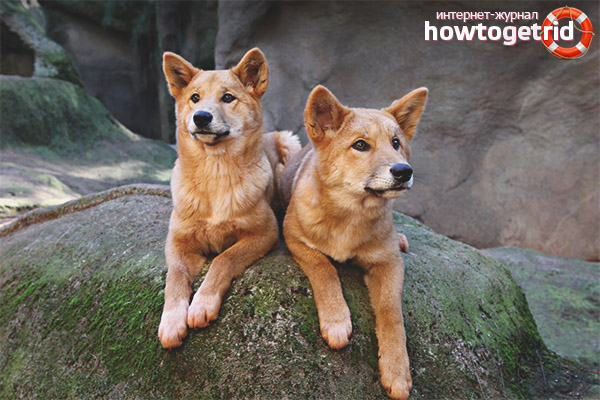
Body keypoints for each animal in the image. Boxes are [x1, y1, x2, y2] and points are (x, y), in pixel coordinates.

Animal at [158, 48, 300, 349]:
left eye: (227, 97)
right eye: (195, 97)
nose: (201, 117)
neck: (215, 175)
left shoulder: (263, 233)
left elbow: (223, 259)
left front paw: (202, 304)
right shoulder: (177, 242)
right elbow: (174, 278)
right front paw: (171, 321)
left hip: (289, 142)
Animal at [280, 85, 428, 399]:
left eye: (396, 143)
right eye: (360, 145)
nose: (403, 171)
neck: (351, 216)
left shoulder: (388, 262)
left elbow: (391, 313)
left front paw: (397, 369)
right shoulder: (294, 238)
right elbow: (324, 269)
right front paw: (336, 320)